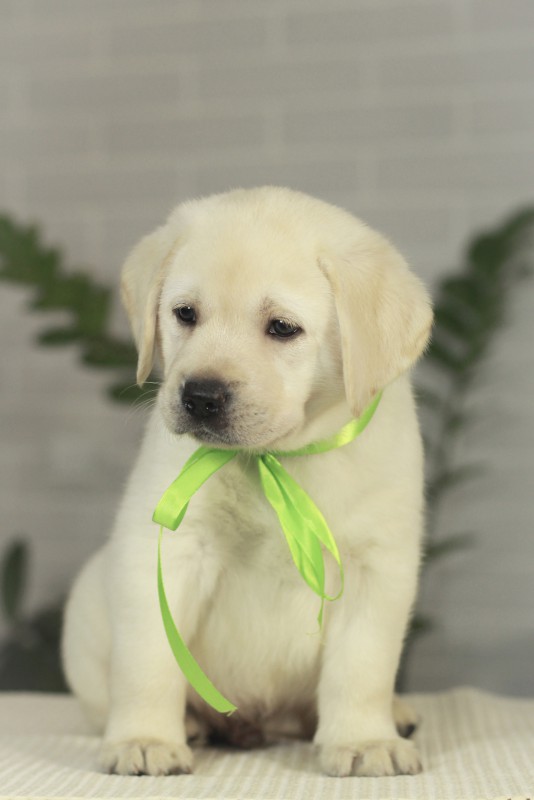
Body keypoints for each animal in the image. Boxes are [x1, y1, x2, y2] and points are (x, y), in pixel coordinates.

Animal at [62, 186, 432, 778]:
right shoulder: (166, 551)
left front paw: (363, 741)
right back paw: (191, 725)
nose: (200, 396)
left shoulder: (377, 565)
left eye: (282, 327)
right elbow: (148, 661)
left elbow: (362, 668)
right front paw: (145, 738)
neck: (275, 459)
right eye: (185, 314)